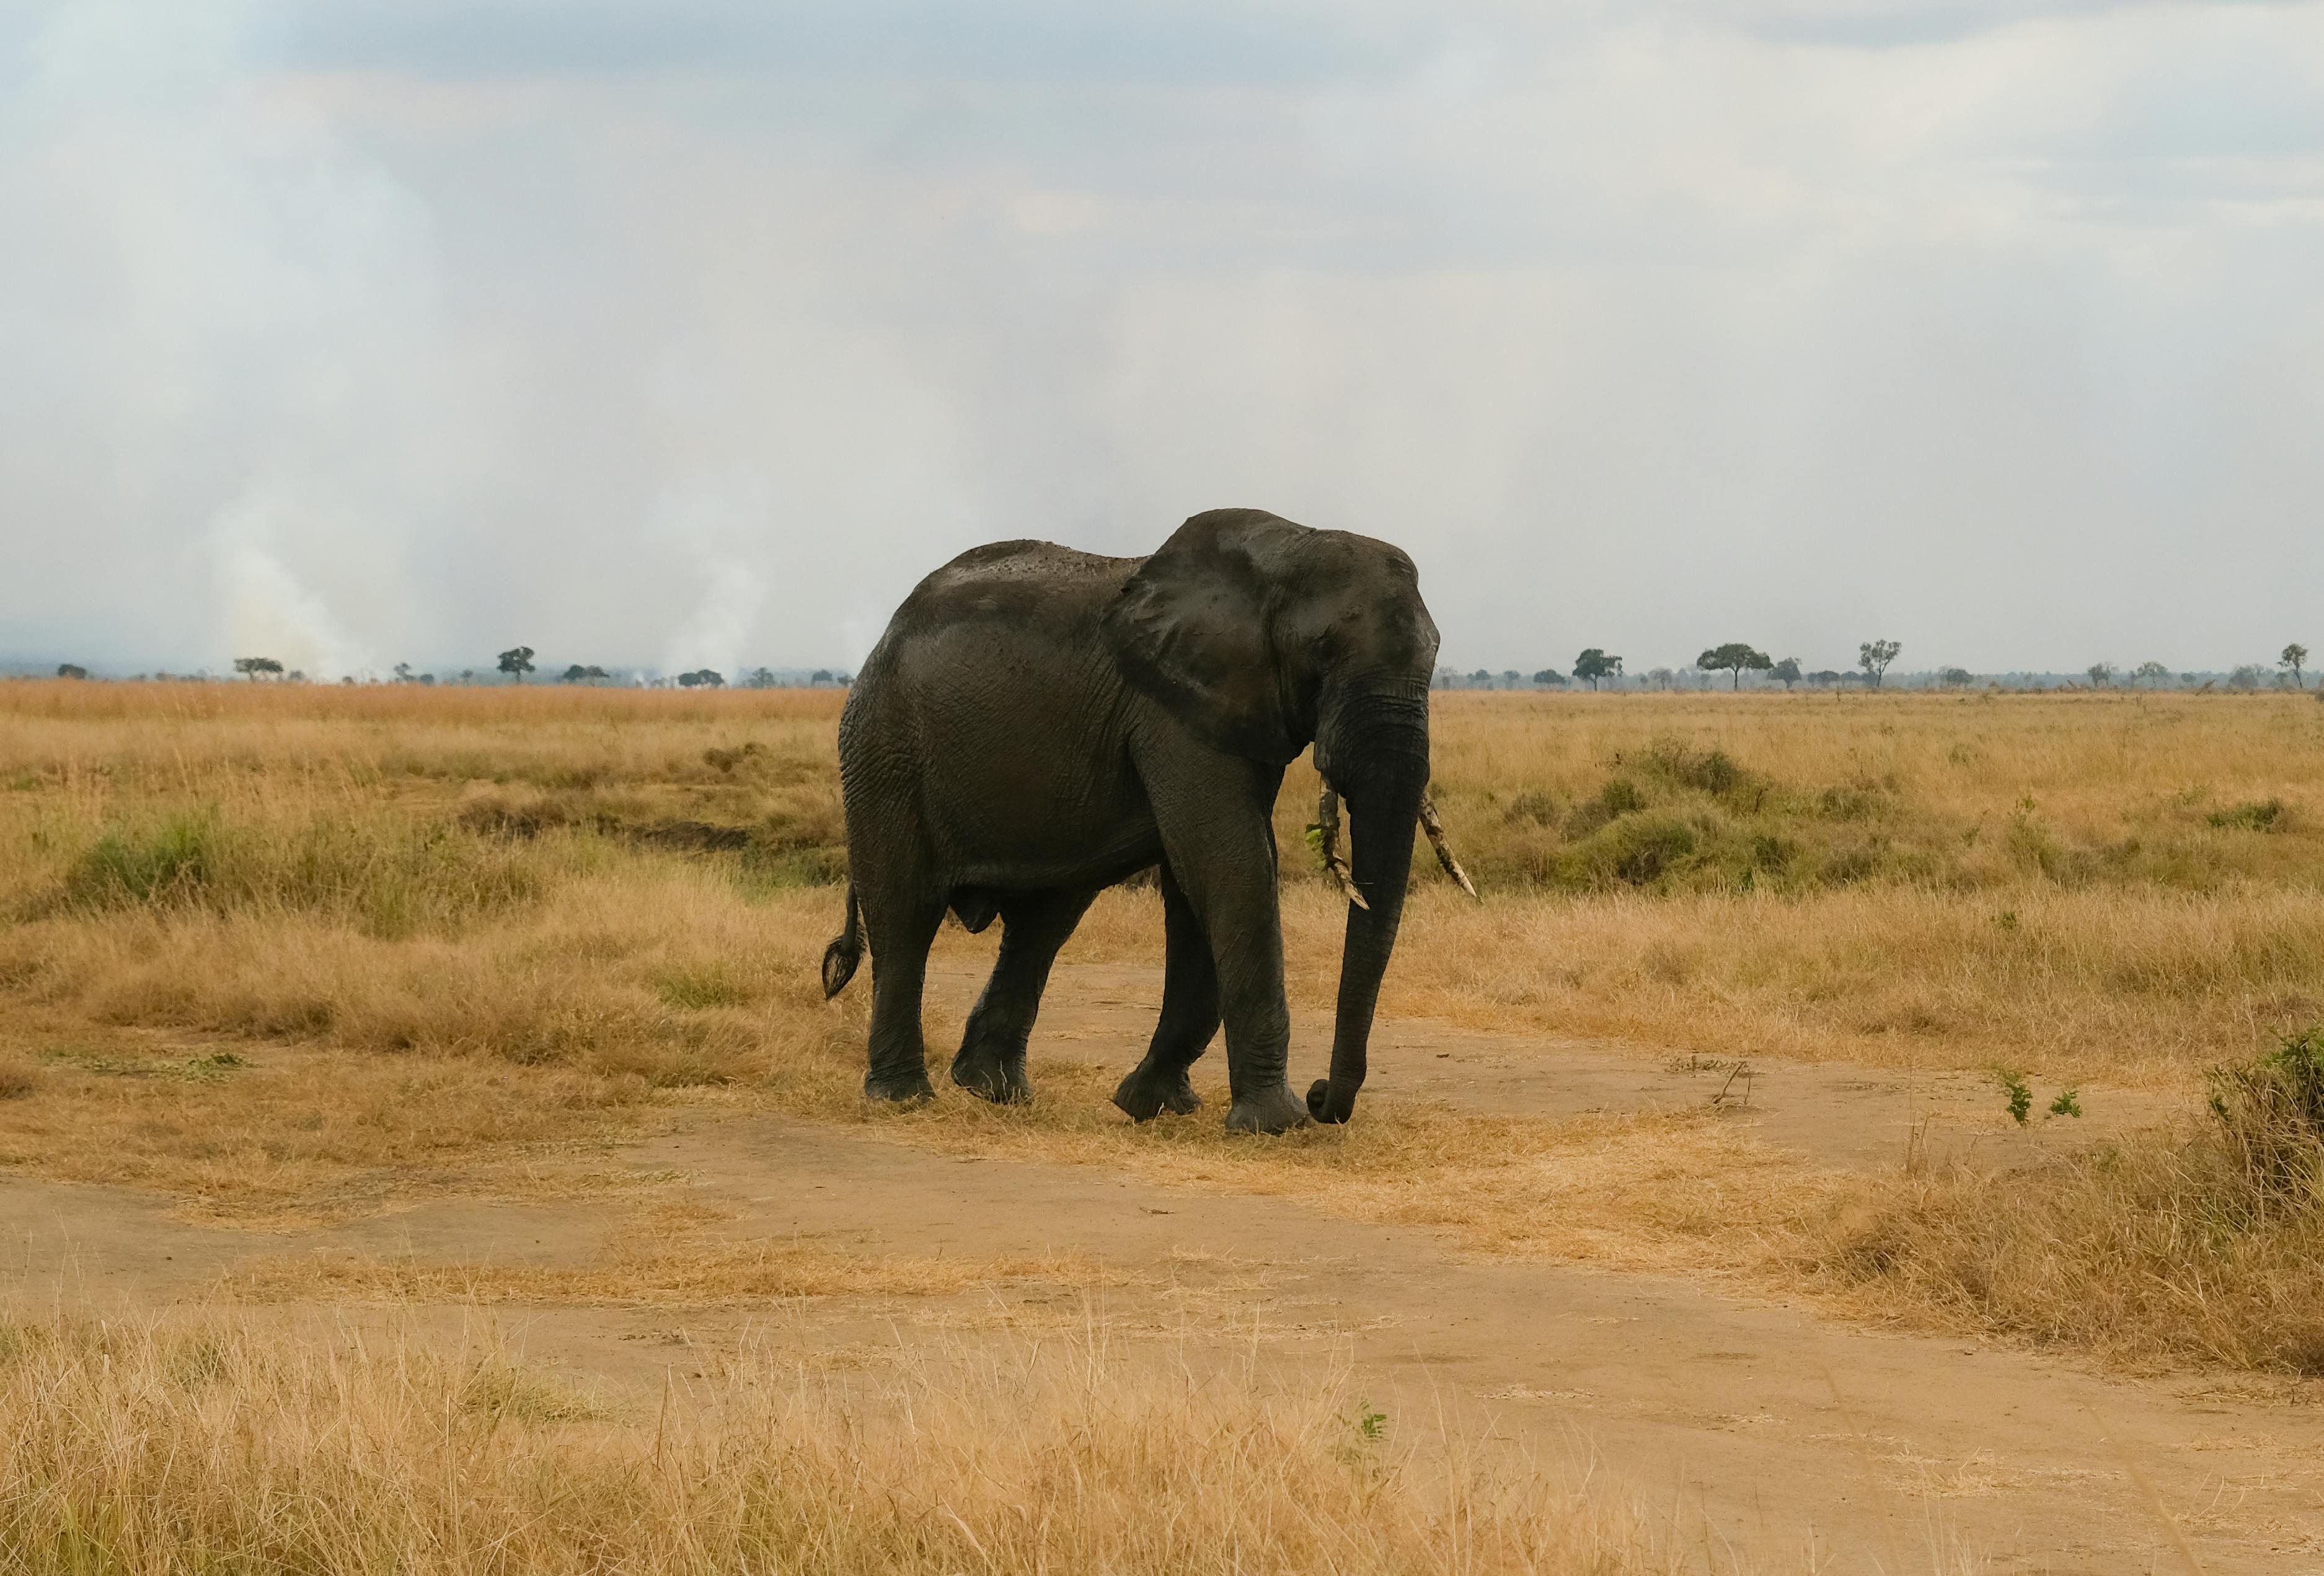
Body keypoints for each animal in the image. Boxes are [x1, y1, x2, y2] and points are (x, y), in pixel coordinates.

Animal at [820, 507, 1474, 1133]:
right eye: (1321, 653)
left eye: (1436, 657)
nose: (1320, 1096)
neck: (1289, 545)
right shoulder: (1171, 713)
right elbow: (1232, 865)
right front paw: (1275, 1124)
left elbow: (1201, 882)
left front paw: (1150, 1106)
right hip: (883, 751)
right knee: (905, 912)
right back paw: (903, 1099)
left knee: (1044, 921)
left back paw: (993, 1091)